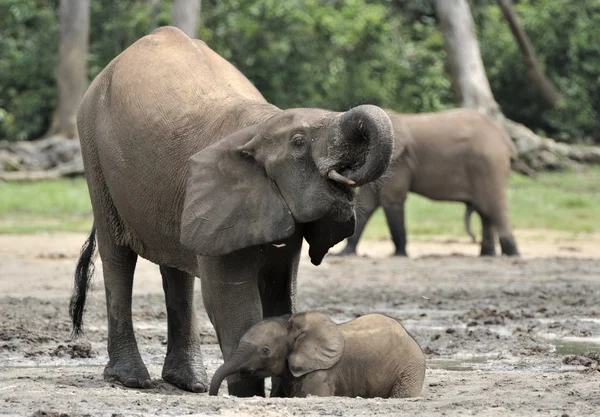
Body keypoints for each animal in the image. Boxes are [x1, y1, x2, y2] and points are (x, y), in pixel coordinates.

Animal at [69, 26, 394, 396]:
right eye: (299, 143)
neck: (261, 126)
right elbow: (231, 299)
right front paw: (250, 395)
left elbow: (280, 292)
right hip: (94, 151)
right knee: (118, 255)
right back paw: (131, 379)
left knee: (174, 266)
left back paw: (190, 382)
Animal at [338, 107, 520, 256]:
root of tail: (505, 140)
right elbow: (367, 202)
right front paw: (344, 254)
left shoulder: (399, 160)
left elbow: (391, 199)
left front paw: (400, 254)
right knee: (485, 211)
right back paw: (488, 254)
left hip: (490, 164)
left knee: (493, 206)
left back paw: (512, 254)